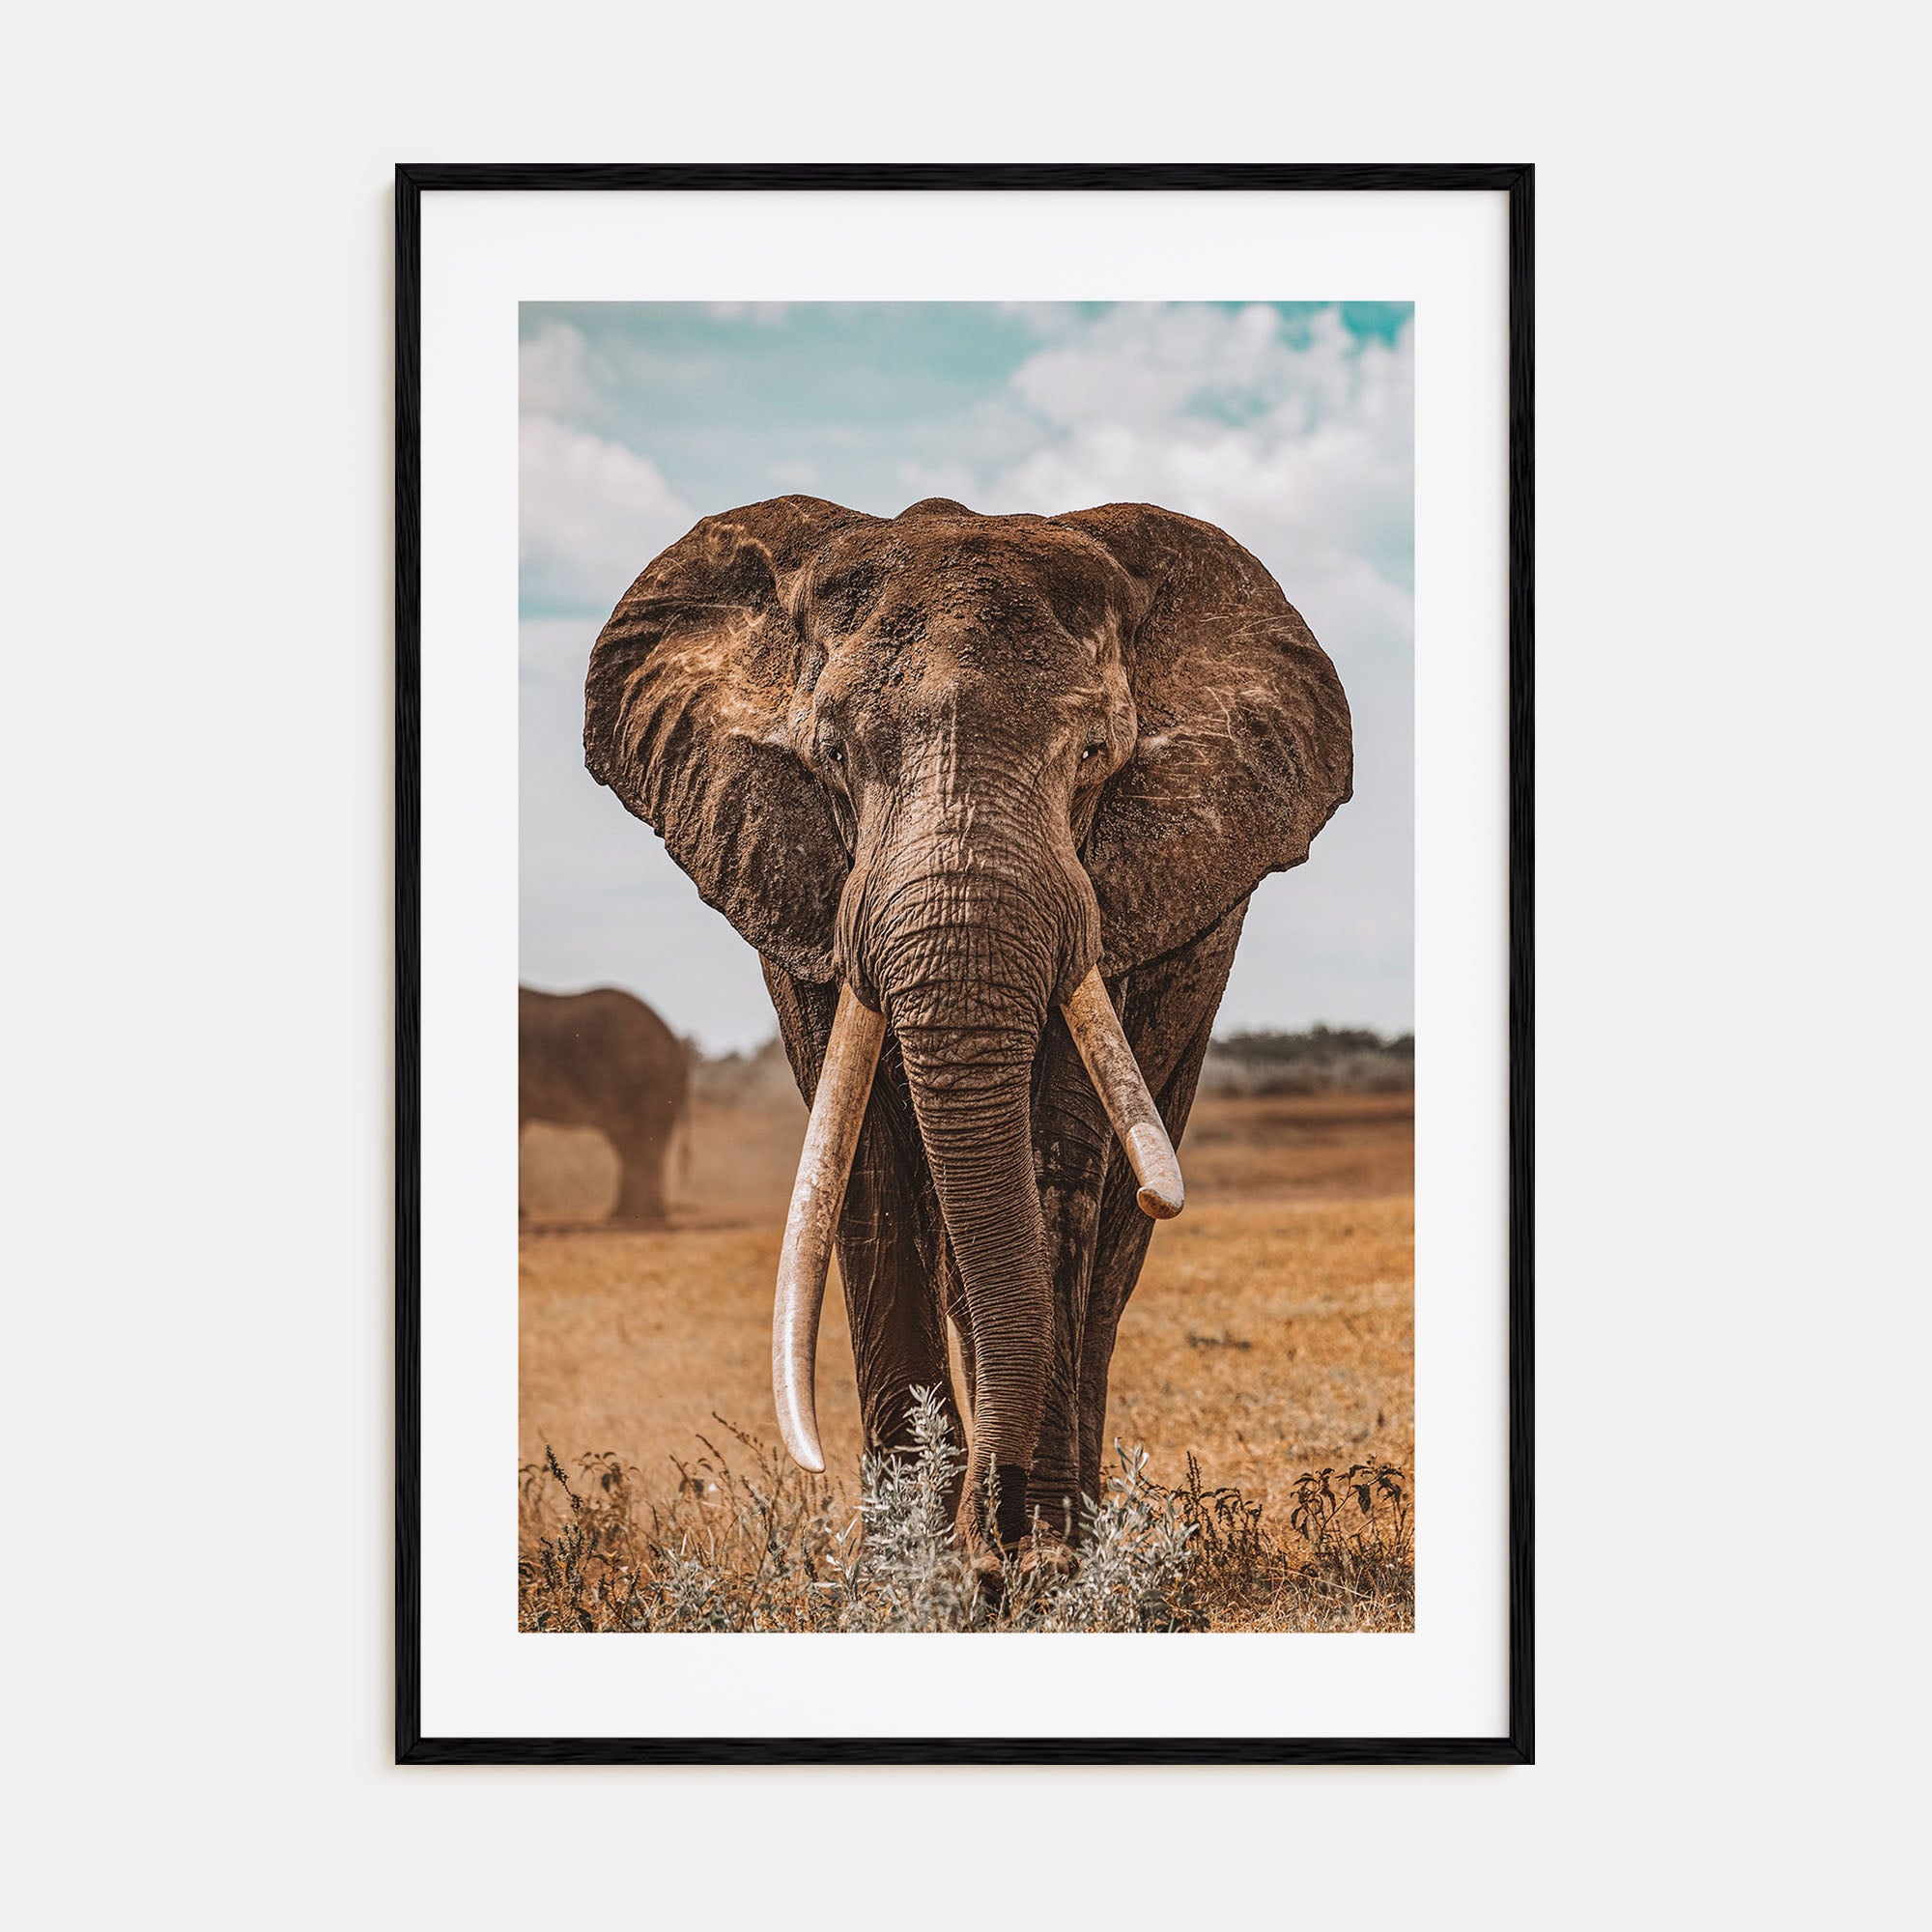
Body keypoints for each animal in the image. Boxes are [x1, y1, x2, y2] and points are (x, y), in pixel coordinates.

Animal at [583, 495, 1351, 1562]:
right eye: (831, 757)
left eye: (1093, 755)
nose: (999, 1535)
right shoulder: (803, 890)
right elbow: (862, 1167)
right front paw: (912, 1569)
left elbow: (1056, 1165)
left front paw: (1039, 1564)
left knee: (1107, 1250)